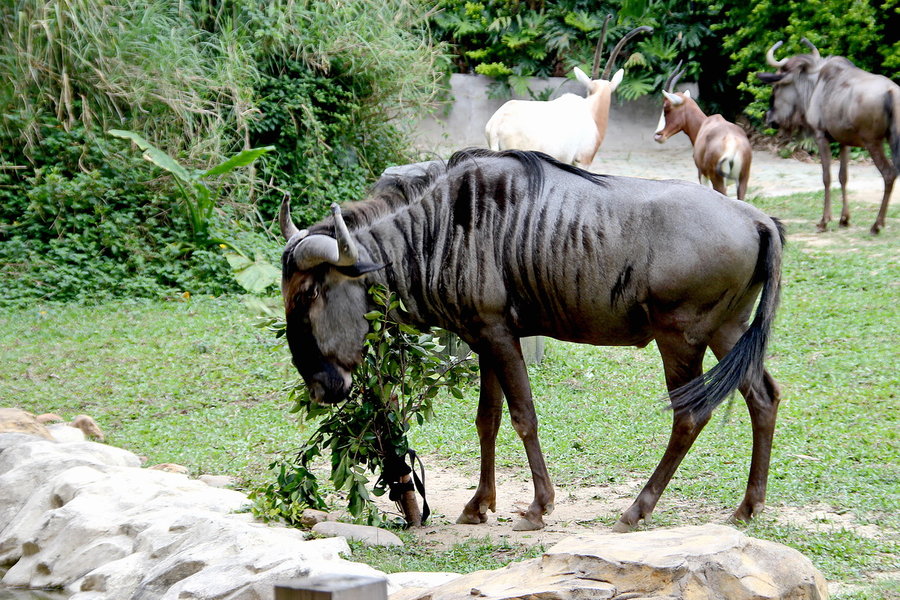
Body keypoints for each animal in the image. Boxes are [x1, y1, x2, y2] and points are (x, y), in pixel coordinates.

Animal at [652, 65, 752, 202]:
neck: (706, 123)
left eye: (666, 107)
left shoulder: (702, 174)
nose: (658, 135)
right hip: (742, 181)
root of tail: (733, 146)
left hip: (719, 181)